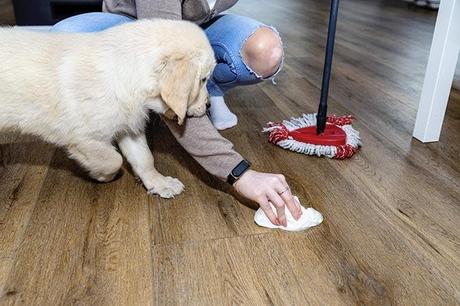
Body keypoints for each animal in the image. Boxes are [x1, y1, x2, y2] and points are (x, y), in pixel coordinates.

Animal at [0, 19, 216, 197]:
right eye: (203, 79)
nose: (209, 105)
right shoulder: (84, 138)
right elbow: (113, 159)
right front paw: (102, 175)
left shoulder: (128, 127)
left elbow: (144, 158)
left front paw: (159, 183)